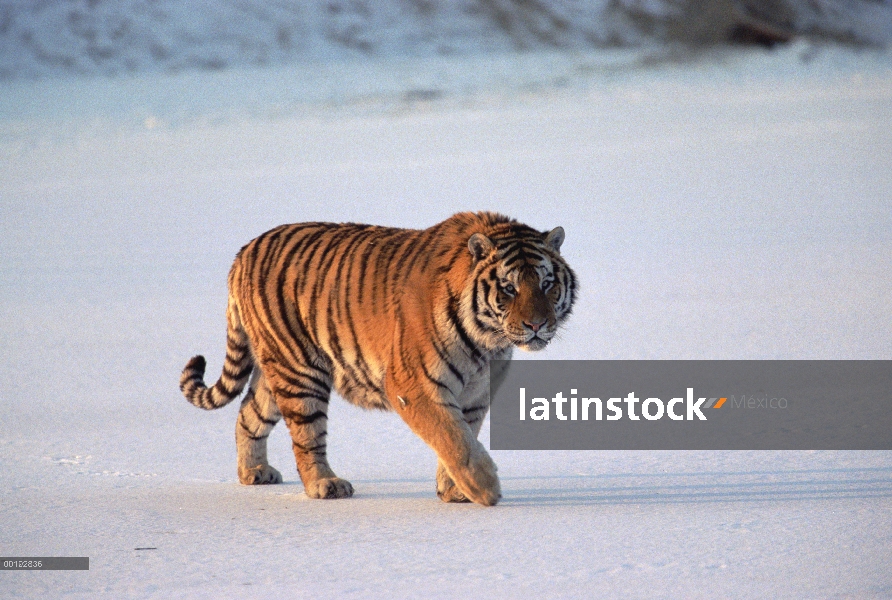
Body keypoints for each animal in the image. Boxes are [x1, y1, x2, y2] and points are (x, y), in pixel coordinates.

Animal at [181, 211, 580, 506]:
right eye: (509, 288)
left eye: (546, 284)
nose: (536, 324)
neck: (487, 341)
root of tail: (245, 250)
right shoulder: (414, 385)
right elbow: (454, 439)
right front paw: (485, 489)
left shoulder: (476, 394)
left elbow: (463, 436)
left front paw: (454, 491)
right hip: (300, 371)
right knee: (307, 437)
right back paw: (326, 485)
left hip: (275, 371)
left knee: (248, 415)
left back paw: (255, 473)